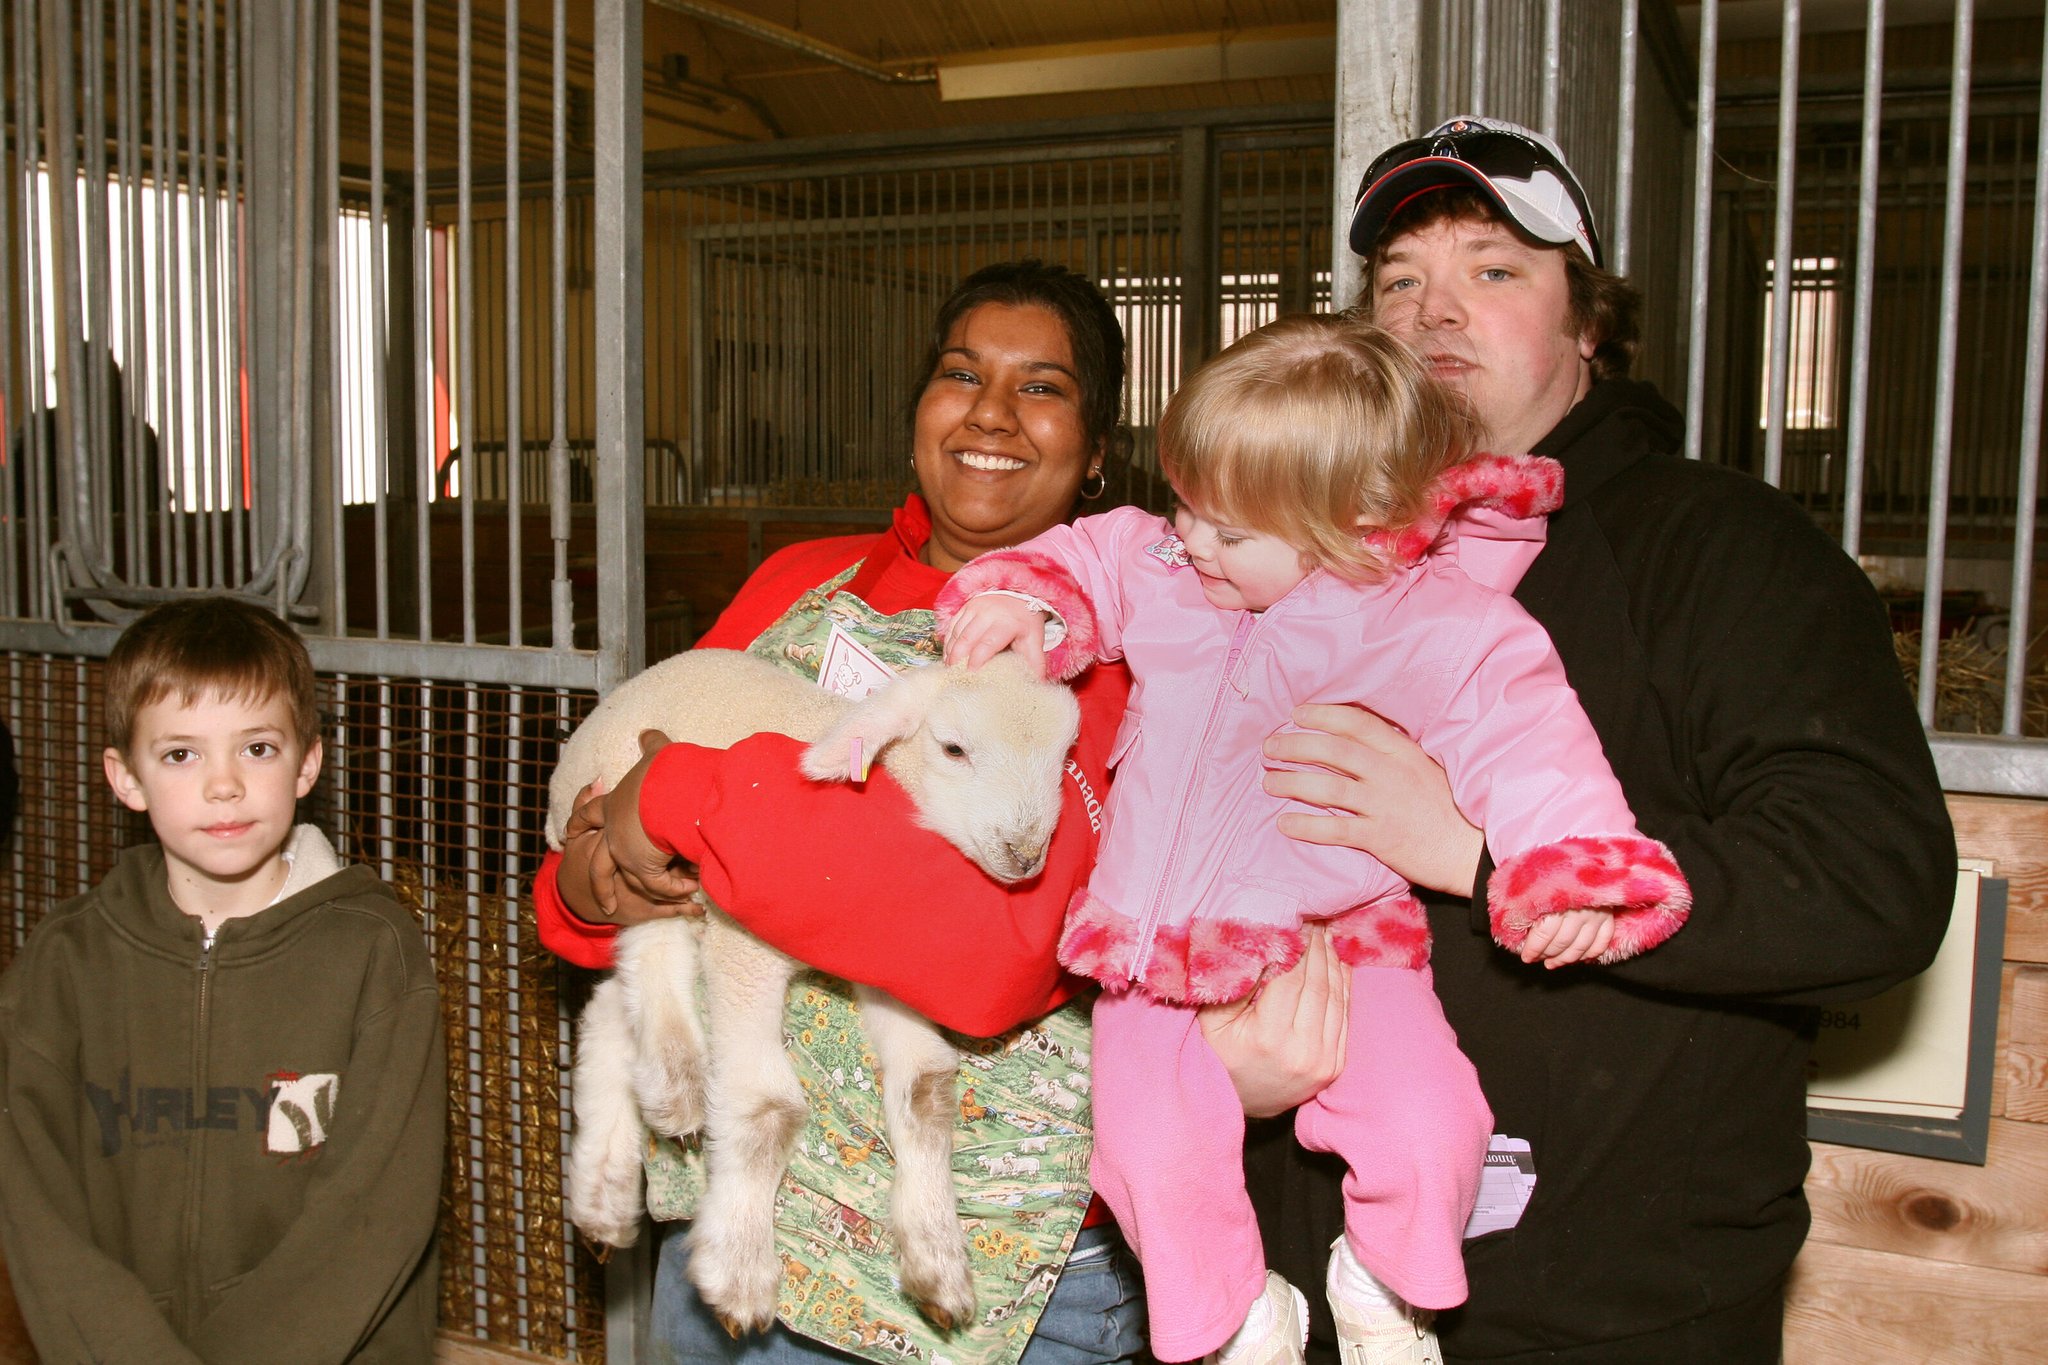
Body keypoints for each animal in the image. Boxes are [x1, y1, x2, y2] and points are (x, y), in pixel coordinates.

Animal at [548, 647, 1080, 1336]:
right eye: (954, 748)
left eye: (1064, 759)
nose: (1026, 855)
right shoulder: (744, 944)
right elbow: (768, 1107)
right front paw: (740, 1275)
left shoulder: (893, 968)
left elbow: (926, 1089)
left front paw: (938, 1266)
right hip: (631, 843)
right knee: (651, 950)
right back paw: (676, 1081)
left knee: (608, 1011)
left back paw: (605, 1195)